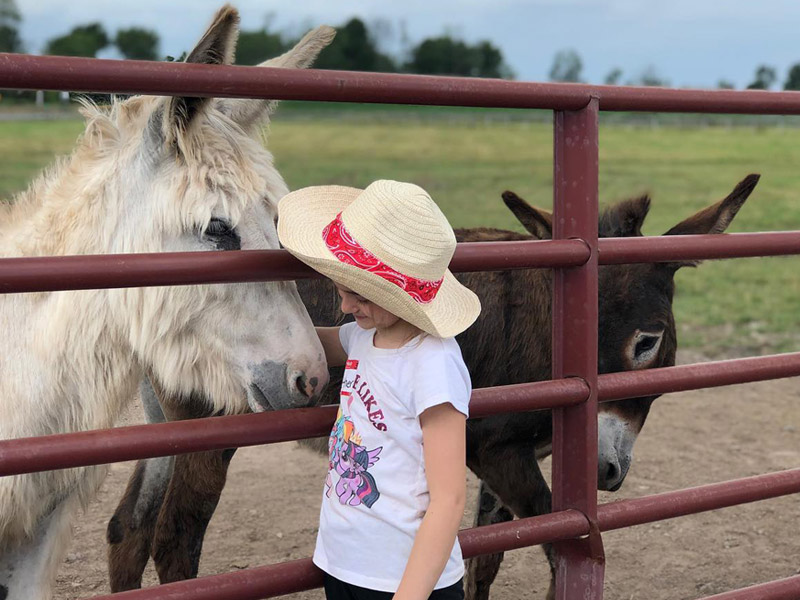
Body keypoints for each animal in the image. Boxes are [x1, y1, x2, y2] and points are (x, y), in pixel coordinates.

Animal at [105, 173, 758, 597]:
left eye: (648, 341)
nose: (599, 470)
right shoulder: (495, 450)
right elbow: (556, 543)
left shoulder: (505, 456)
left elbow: (488, 555)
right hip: (212, 430)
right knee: (175, 540)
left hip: (164, 428)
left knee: (128, 530)